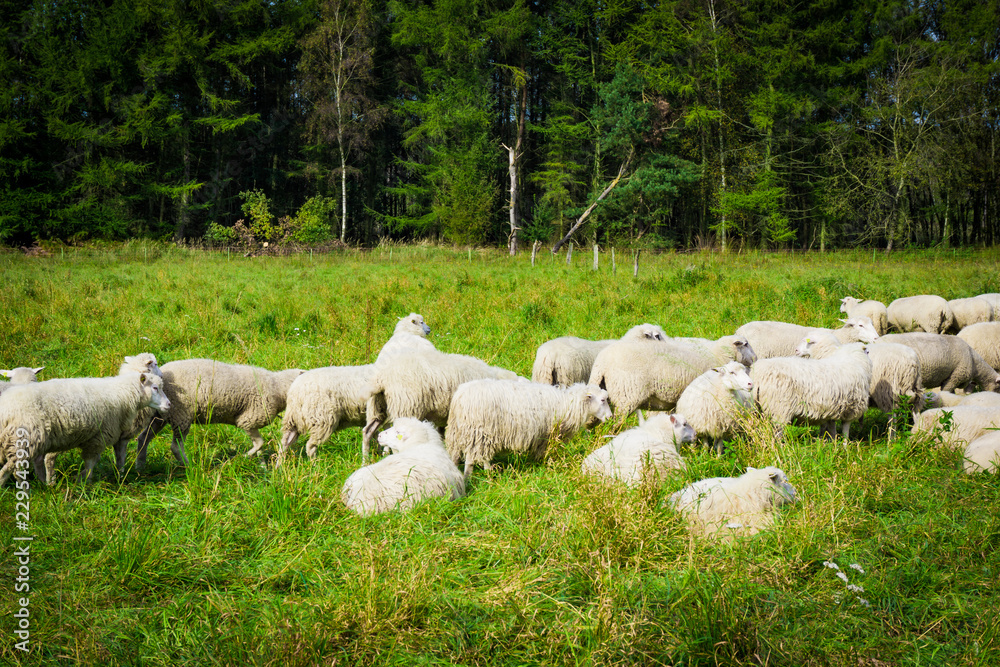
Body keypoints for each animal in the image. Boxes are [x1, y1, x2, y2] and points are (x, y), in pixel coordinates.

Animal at [0, 372, 170, 486]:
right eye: (155, 388)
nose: (169, 405)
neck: (122, 394)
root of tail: (5, 410)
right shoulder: (98, 437)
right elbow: (90, 462)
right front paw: (86, 482)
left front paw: (82, 478)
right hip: (25, 440)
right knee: (11, 469)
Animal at [134, 359, 304, 470]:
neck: (277, 386)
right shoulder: (247, 420)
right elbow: (260, 444)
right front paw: (243, 457)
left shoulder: (251, 422)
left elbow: (259, 446)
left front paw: (262, 466)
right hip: (180, 414)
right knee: (175, 447)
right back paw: (190, 467)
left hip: (160, 415)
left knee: (143, 438)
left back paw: (140, 466)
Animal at [445, 379, 611, 480]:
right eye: (603, 400)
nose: (610, 417)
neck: (569, 404)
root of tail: (459, 397)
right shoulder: (547, 435)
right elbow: (544, 452)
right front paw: (544, 462)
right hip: (478, 432)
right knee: (471, 459)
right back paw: (472, 477)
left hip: (461, 432)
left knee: (467, 456)